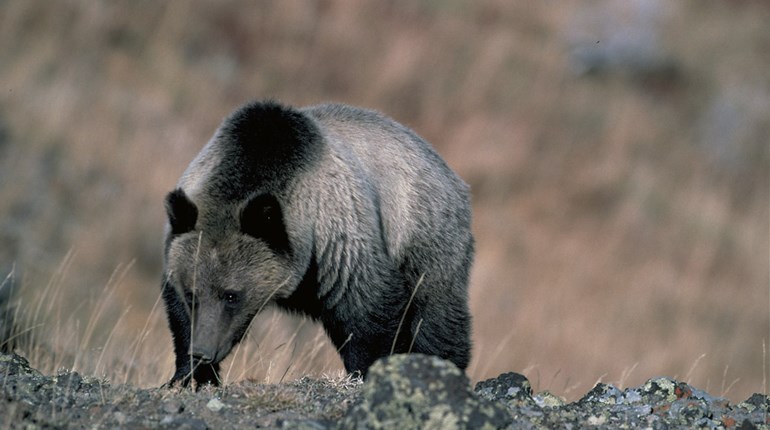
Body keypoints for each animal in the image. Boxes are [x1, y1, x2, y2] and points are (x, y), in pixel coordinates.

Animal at [161, 101, 473, 387]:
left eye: (231, 295)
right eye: (192, 294)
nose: (203, 352)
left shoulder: (339, 238)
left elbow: (369, 311)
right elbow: (178, 316)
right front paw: (189, 375)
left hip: (424, 234)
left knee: (435, 314)